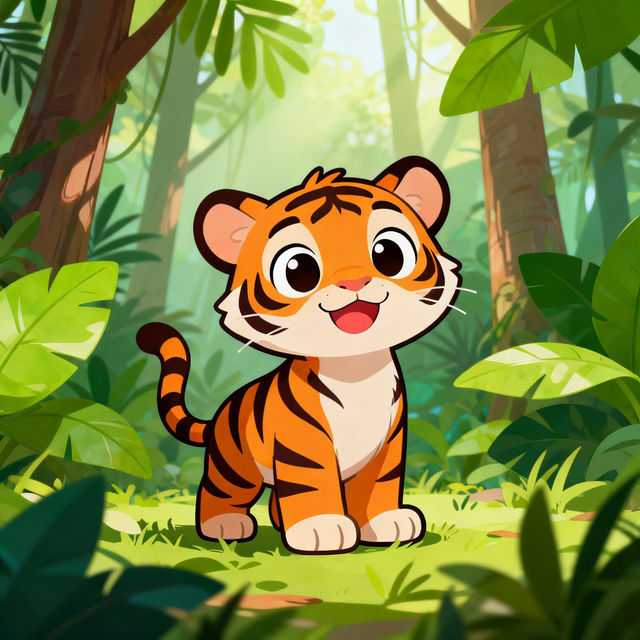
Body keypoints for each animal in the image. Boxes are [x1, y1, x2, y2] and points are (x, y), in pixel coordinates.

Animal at [137, 155, 462, 554]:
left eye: (389, 254)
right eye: (298, 270)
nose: (354, 282)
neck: (356, 367)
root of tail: (219, 414)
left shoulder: (388, 441)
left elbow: (380, 483)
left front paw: (386, 522)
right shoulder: (303, 444)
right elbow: (312, 484)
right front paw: (321, 529)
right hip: (233, 465)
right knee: (220, 491)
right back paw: (224, 525)